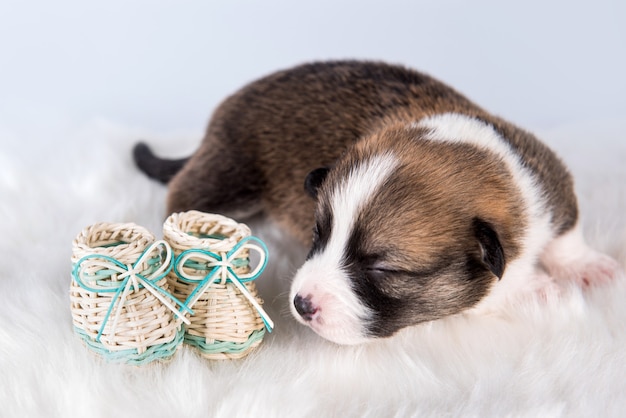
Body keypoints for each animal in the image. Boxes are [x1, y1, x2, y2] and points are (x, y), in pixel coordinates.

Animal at [133, 60, 620, 344]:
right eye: (318, 234)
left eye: (384, 269)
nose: (301, 304)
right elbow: (495, 290)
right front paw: (538, 286)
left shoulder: (550, 180)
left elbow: (567, 234)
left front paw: (585, 266)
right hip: (225, 177)